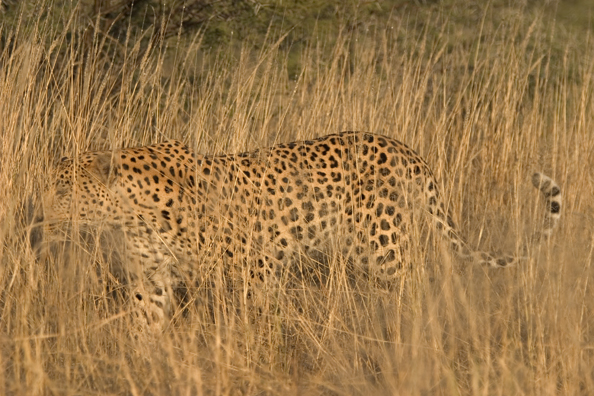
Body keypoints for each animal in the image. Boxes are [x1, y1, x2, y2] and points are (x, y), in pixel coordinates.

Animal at [40, 131, 560, 330]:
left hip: (384, 247)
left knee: (419, 285)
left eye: (64, 191)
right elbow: (145, 328)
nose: (41, 218)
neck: (131, 215)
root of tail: (403, 147)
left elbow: (259, 318)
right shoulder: (150, 280)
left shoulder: (256, 267)